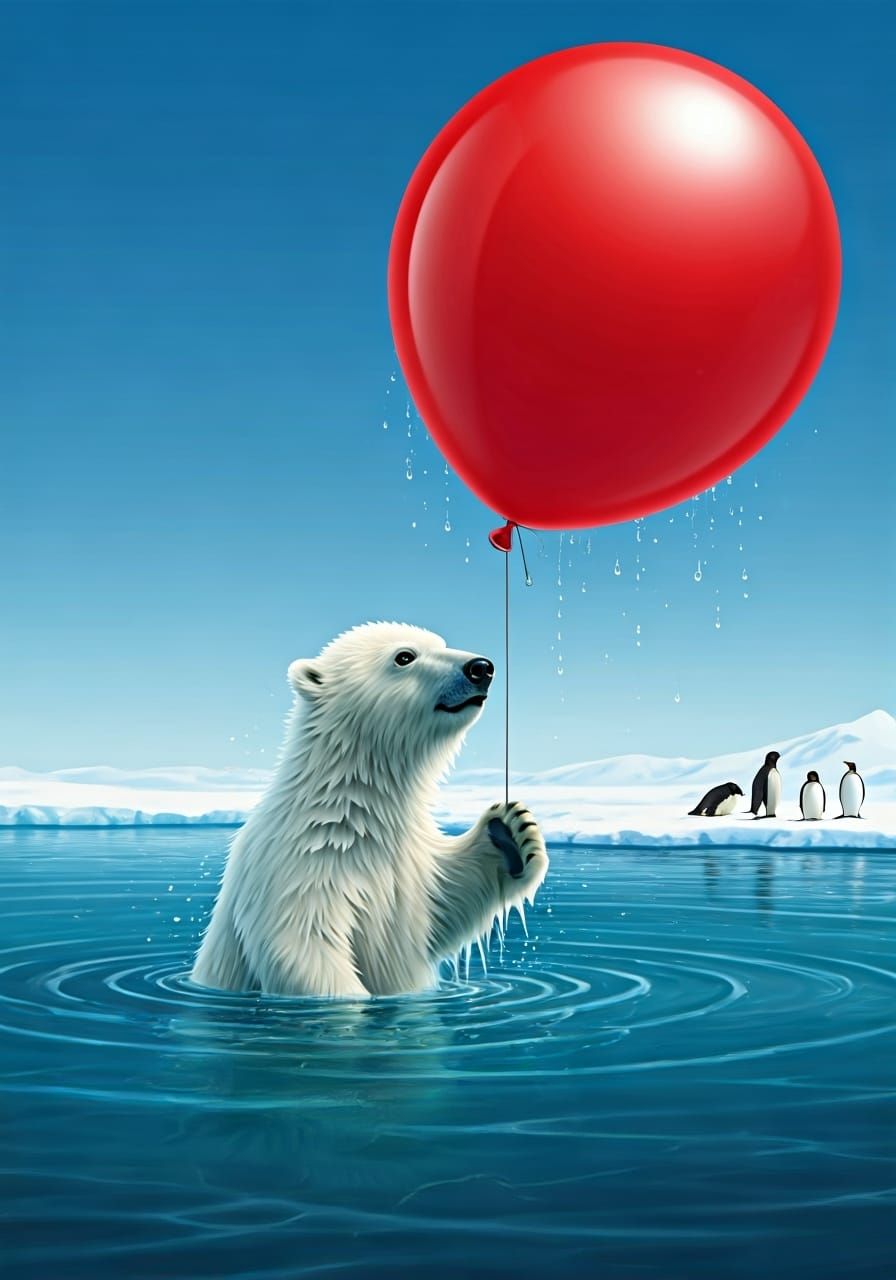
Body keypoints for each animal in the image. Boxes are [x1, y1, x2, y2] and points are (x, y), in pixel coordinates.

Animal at [191, 622, 549, 998]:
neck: (355, 806)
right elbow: (303, 942)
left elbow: (444, 903)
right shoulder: (303, 860)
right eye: (405, 656)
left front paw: (513, 832)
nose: (481, 667)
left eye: (441, 644)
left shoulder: (410, 859)